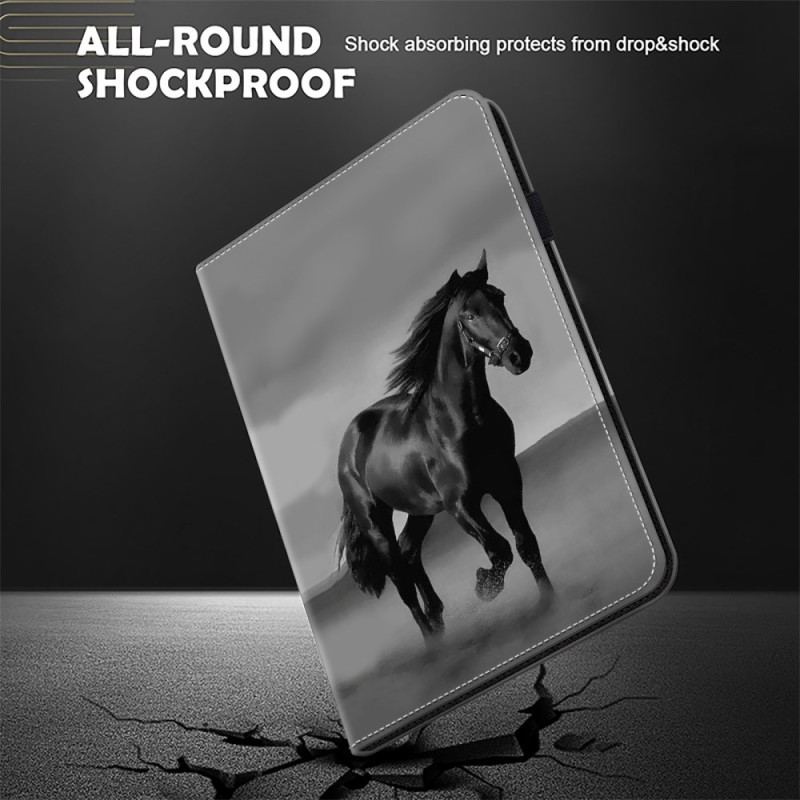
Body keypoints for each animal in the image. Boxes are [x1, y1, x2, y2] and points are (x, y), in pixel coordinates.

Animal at [336, 250, 553, 638]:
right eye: (469, 314)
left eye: (500, 297)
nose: (519, 355)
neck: (462, 420)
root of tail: (349, 442)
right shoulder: (460, 504)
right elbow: (500, 549)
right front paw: (485, 586)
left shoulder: (507, 482)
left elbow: (526, 544)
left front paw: (549, 602)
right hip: (375, 520)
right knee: (401, 579)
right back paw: (433, 640)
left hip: (420, 509)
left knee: (410, 554)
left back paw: (437, 618)